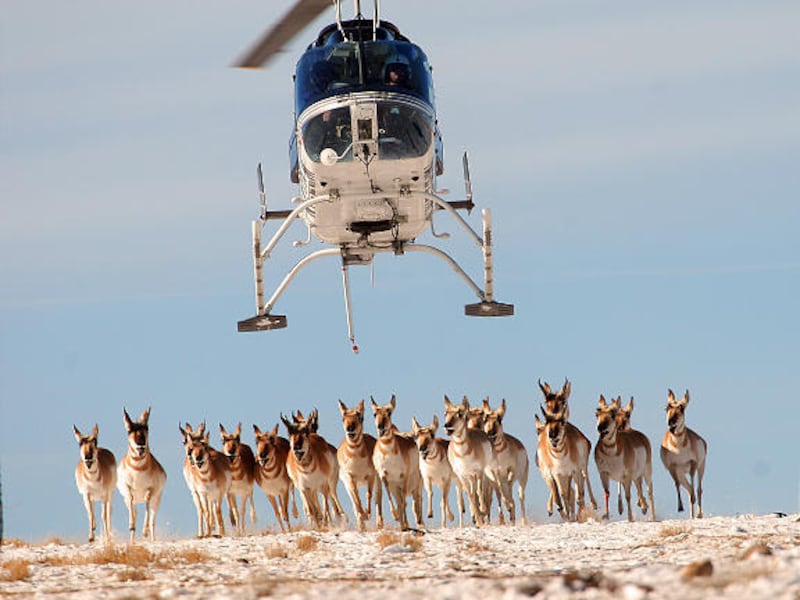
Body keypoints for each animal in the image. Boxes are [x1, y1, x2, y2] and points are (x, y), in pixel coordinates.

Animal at [117, 407, 167, 542]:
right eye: (129, 430)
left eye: (146, 428)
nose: (141, 447)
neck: (138, 471)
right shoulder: (128, 489)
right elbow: (131, 503)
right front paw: (131, 527)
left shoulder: (150, 490)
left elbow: (147, 502)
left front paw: (144, 531)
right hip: (128, 501)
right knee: (135, 511)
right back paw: (132, 540)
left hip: (157, 500)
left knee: (152, 521)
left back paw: (152, 539)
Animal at [337, 399, 382, 530]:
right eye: (343, 417)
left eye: (360, 417)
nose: (350, 428)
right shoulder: (350, 477)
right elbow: (356, 497)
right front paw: (363, 515)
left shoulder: (370, 475)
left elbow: (369, 494)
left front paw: (367, 514)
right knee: (354, 502)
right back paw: (361, 525)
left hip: (378, 481)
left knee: (378, 499)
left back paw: (379, 524)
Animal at [371, 395, 423, 530]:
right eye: (375, 414)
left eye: (389, 412)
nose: (381, 427)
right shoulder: (384, 476)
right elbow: (391, 498)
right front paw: (396, 517)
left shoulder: (403, 476)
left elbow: (404, 502)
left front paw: (403, 522)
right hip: (395, 485)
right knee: (400, 501)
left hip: (416, 483)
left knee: (416, 501)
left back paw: (418, 523)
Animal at [443, 395, 503, 526]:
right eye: (445, 413)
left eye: (460, 413)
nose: (446, 426)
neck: (463, 454)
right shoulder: (462, 476)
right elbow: (471, 496)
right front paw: (478, 517)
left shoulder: (478, 472)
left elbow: (480, 493)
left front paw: (482, 512)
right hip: (471, 477)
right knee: (475, 493)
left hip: (489, 472)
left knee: (493, 492)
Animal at [661, 389, 707, 518]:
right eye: (667, 407)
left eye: (682, 408)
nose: (671, 424)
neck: (678, 449)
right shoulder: (672, 467)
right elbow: (677, 484)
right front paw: (680, 507)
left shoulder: (693, 464)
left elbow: (694, 488)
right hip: (681, 473)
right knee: (688, 489)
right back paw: (692, 515)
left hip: (701, 467)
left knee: (698, 489)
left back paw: (698, 514)